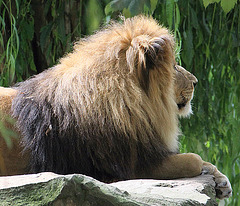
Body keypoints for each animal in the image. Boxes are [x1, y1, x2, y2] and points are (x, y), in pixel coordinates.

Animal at [0, 16, 232, 200]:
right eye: (174, 66)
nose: (195, 82)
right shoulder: (131, 168)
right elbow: (193, 159)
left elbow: (203, 161)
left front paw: (222, 182)